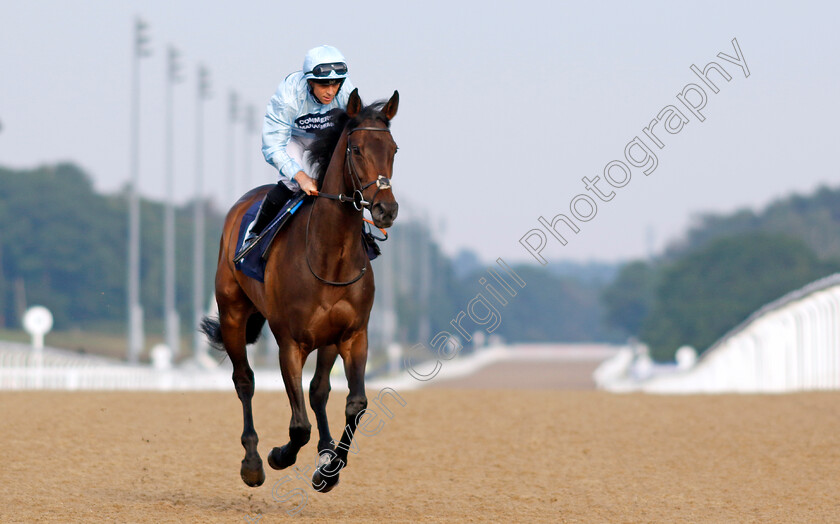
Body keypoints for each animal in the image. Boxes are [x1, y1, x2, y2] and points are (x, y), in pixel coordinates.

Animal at [203, 88, 400, 494]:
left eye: (393, 148)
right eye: (356, 149)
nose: (386, 210)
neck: (330, 257)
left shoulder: (353, 335)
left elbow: (354, 403)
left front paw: (330, 468)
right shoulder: (289, 343)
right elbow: (298, 425)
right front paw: (279, 456)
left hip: (327, 339)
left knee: (318, 390)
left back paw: (325, 452)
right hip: (232, 314)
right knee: (244, 381)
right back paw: (252, 462)